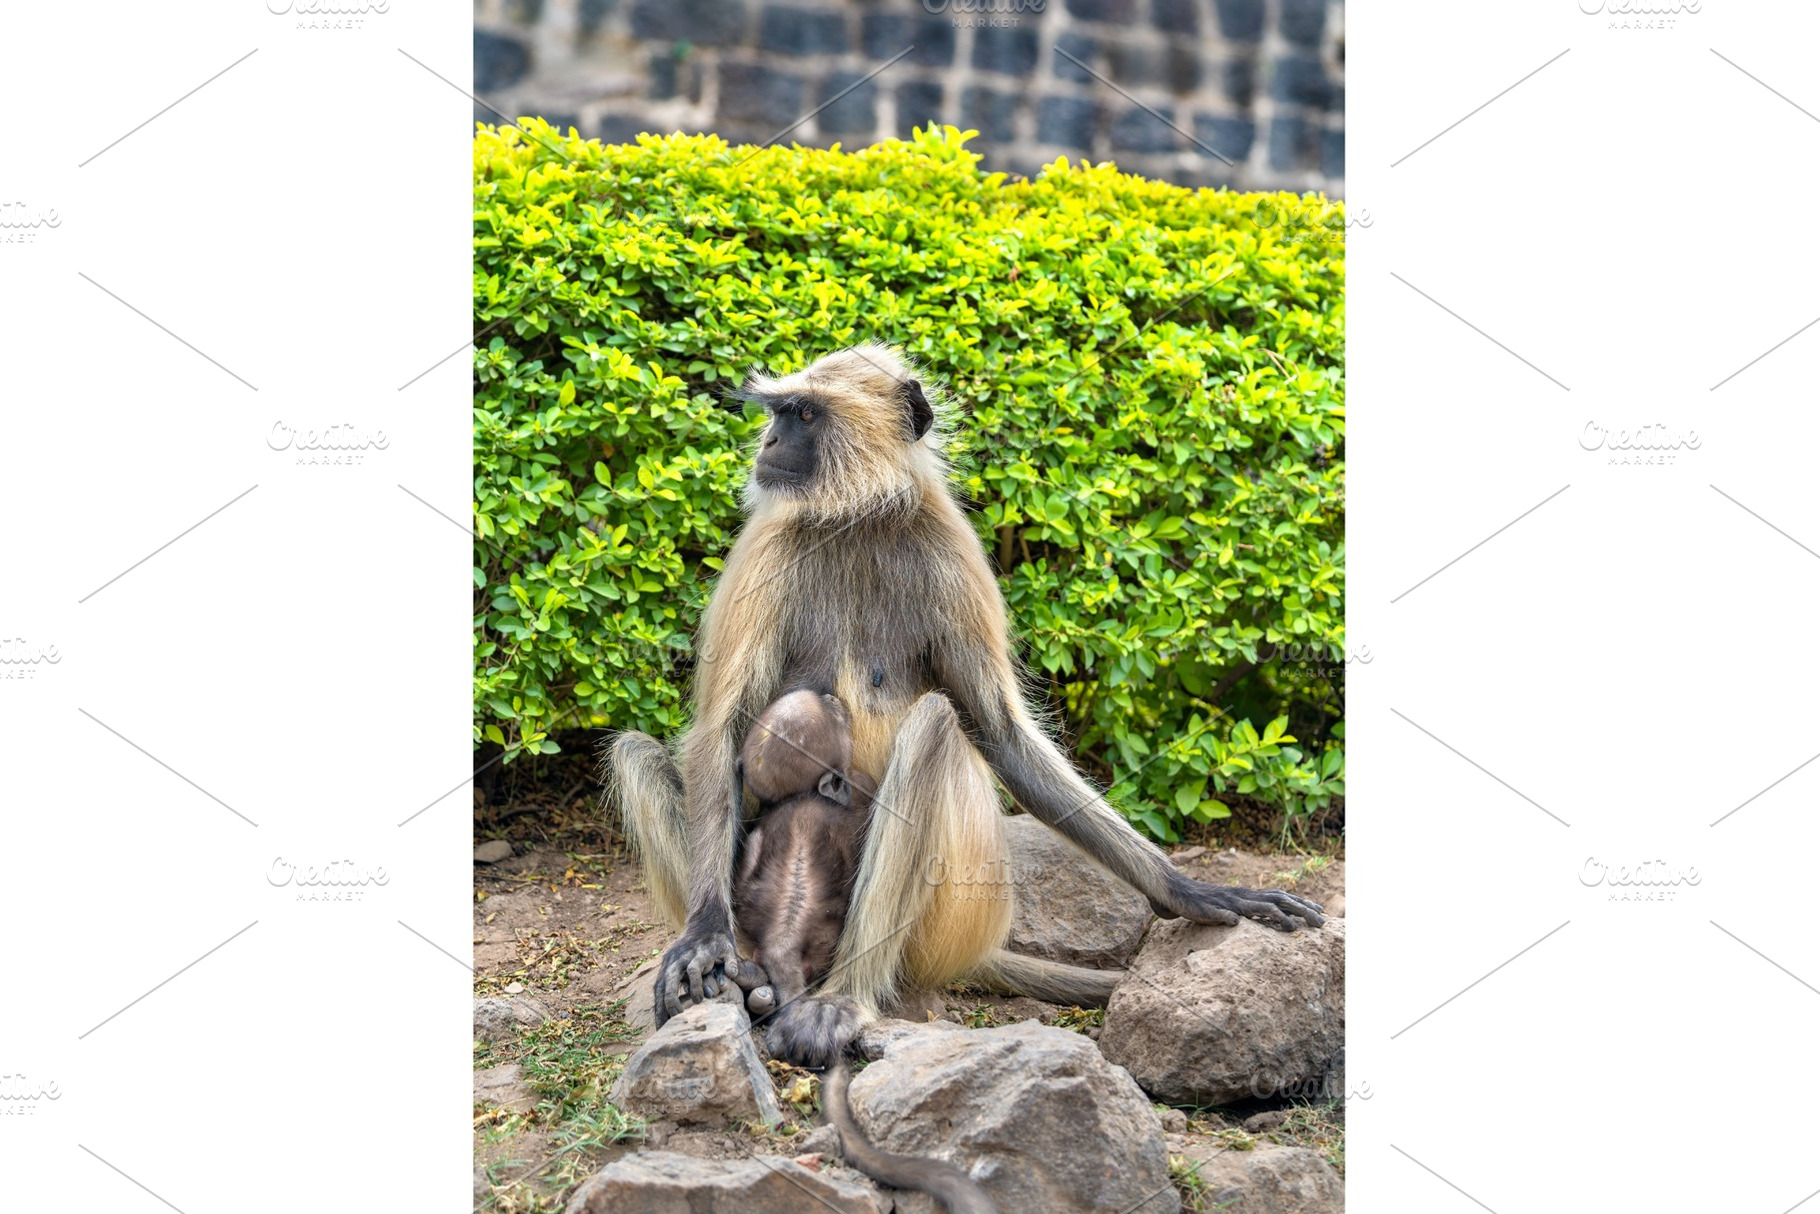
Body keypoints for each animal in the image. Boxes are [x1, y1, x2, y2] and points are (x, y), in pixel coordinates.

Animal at [608, 341, 1323, 1072]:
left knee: (933, 726)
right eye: (780, 412)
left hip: (947, 917)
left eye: (803, 414)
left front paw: (1188, 891)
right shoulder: (768, 541)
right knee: (636, 750)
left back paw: (839, 1001)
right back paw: (750, 980)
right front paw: (704, 934)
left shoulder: (952, 546)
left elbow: (1001, 732)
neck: (858, 516)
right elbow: (720, 730)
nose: (769, 440)